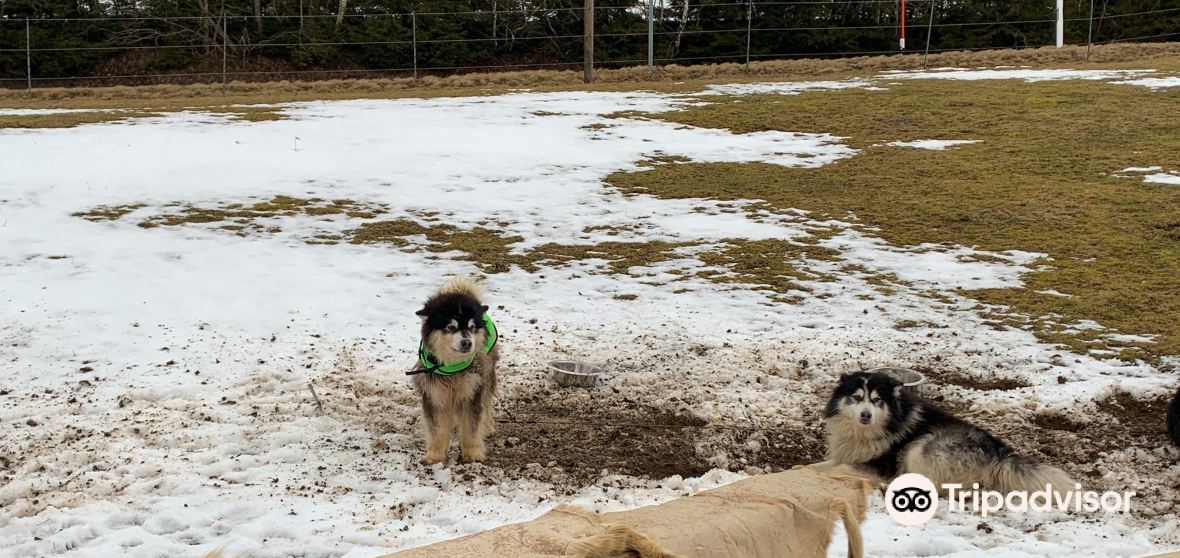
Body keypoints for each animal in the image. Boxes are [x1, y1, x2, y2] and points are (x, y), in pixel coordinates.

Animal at [410, 278, 497, 464]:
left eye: (472, 327)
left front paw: (472, 453)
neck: (452, 368)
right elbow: (437, 429)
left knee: (486, 405)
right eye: (450, 327)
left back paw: (487, 427)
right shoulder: (434, 394)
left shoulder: (472, 392)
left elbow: (472, 426)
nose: (467, 343)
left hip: (487, 376)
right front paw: (435, 456)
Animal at [816, 372, 1076, 493]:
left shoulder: (881, 464)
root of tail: (1001, 452)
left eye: (877, 400)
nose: (865, 415)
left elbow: (838, 468)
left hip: (923, 447)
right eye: (857, 397)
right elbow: (821, 465)